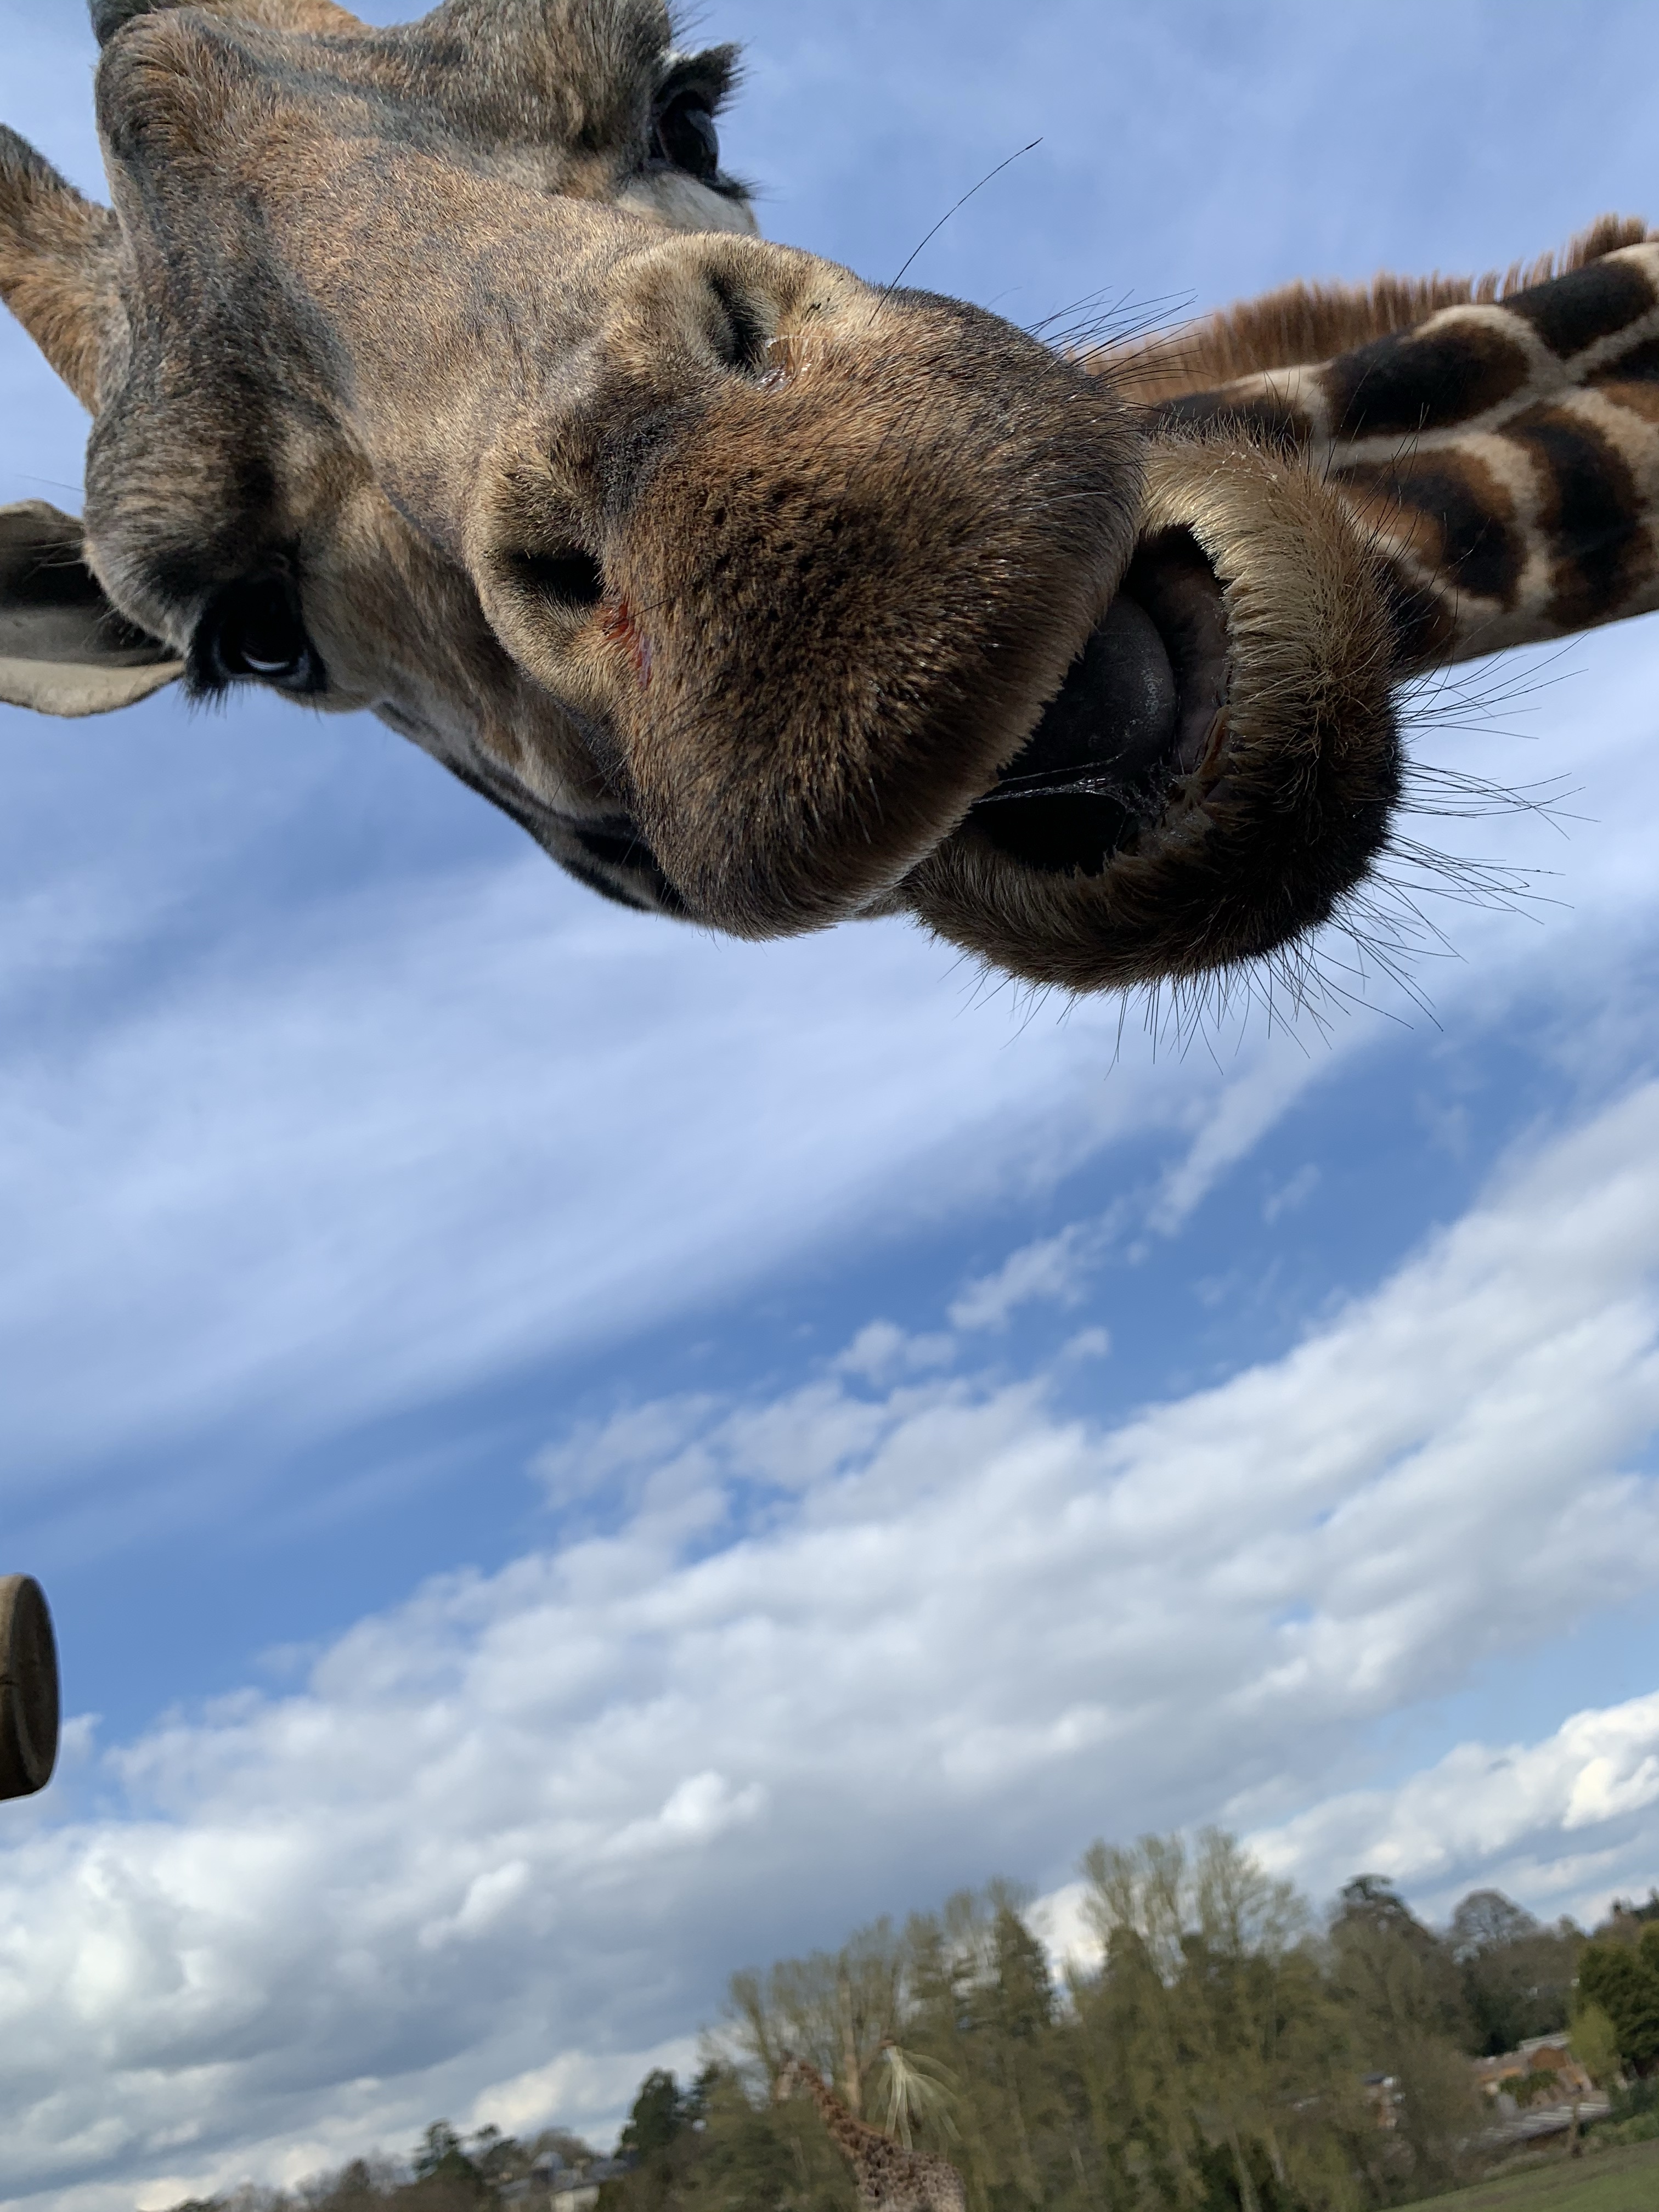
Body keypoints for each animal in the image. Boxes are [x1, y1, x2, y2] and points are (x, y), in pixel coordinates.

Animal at [774, 2052, 969, 2212]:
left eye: (784, 2072)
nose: (778, 2098)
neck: (859, 2148)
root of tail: (958, 2177)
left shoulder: (874, 2205)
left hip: (946, 2203)